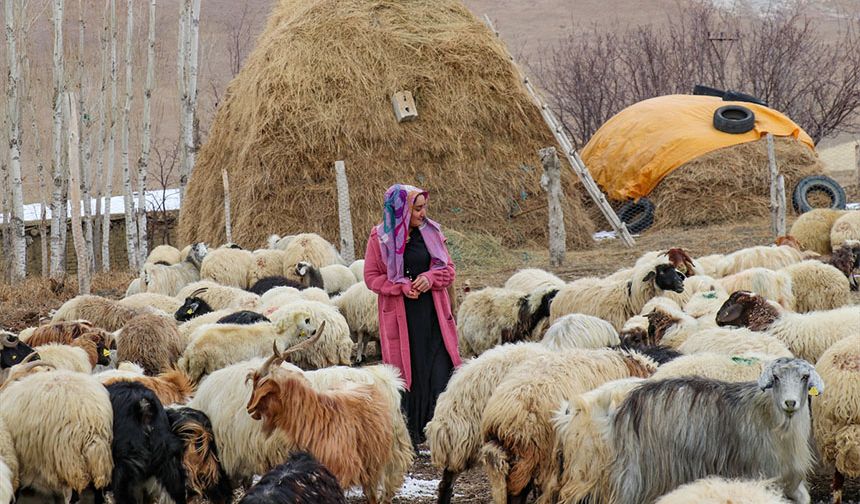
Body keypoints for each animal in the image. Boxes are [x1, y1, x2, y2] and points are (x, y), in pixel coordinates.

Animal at [612, 356, 820, 502]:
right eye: (776, 378)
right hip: (649, 472)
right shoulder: (763, 473)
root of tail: (631, 401)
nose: (790, 402)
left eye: (805, 377)